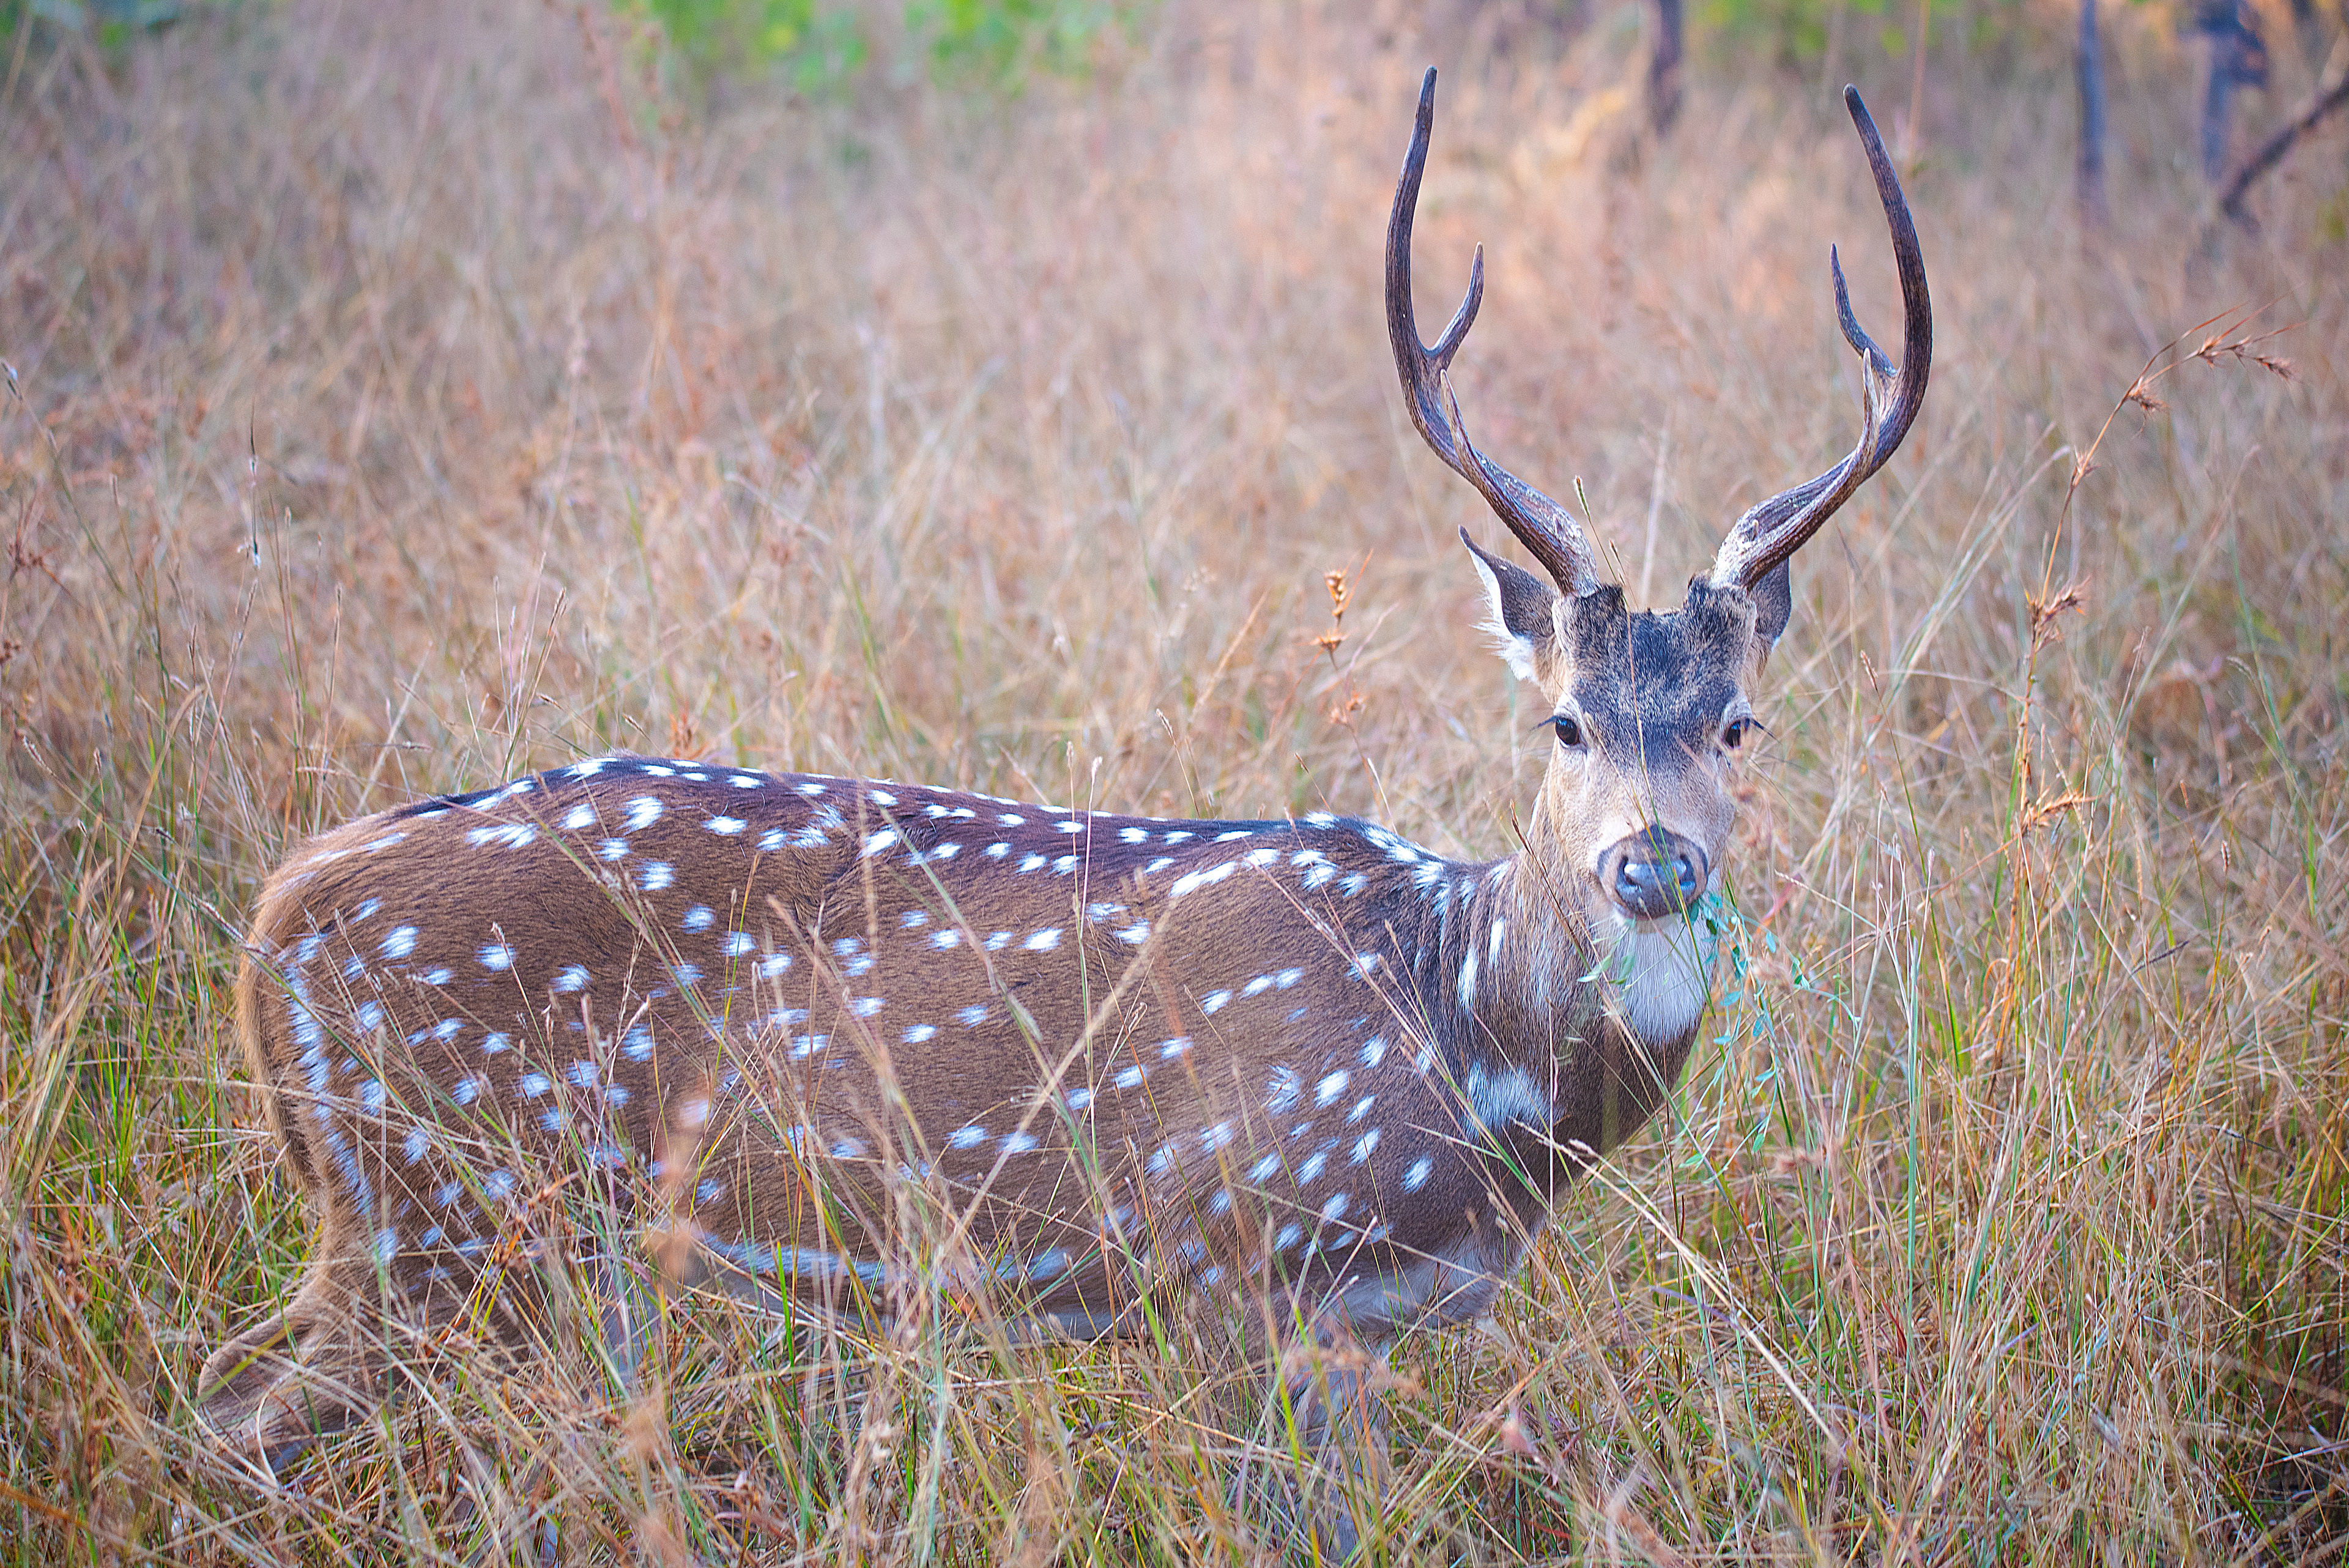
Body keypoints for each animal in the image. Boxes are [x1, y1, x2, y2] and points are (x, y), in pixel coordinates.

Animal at [198, 69, 1928, 1548]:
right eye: (1565, 721)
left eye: (1736, 723)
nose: (1652, 862)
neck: (1463, 1037)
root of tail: (283, 906)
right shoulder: (1239, 1265)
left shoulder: (1359, 1330)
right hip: (433, 1205)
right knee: (233, 1415)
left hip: (485, 1238)